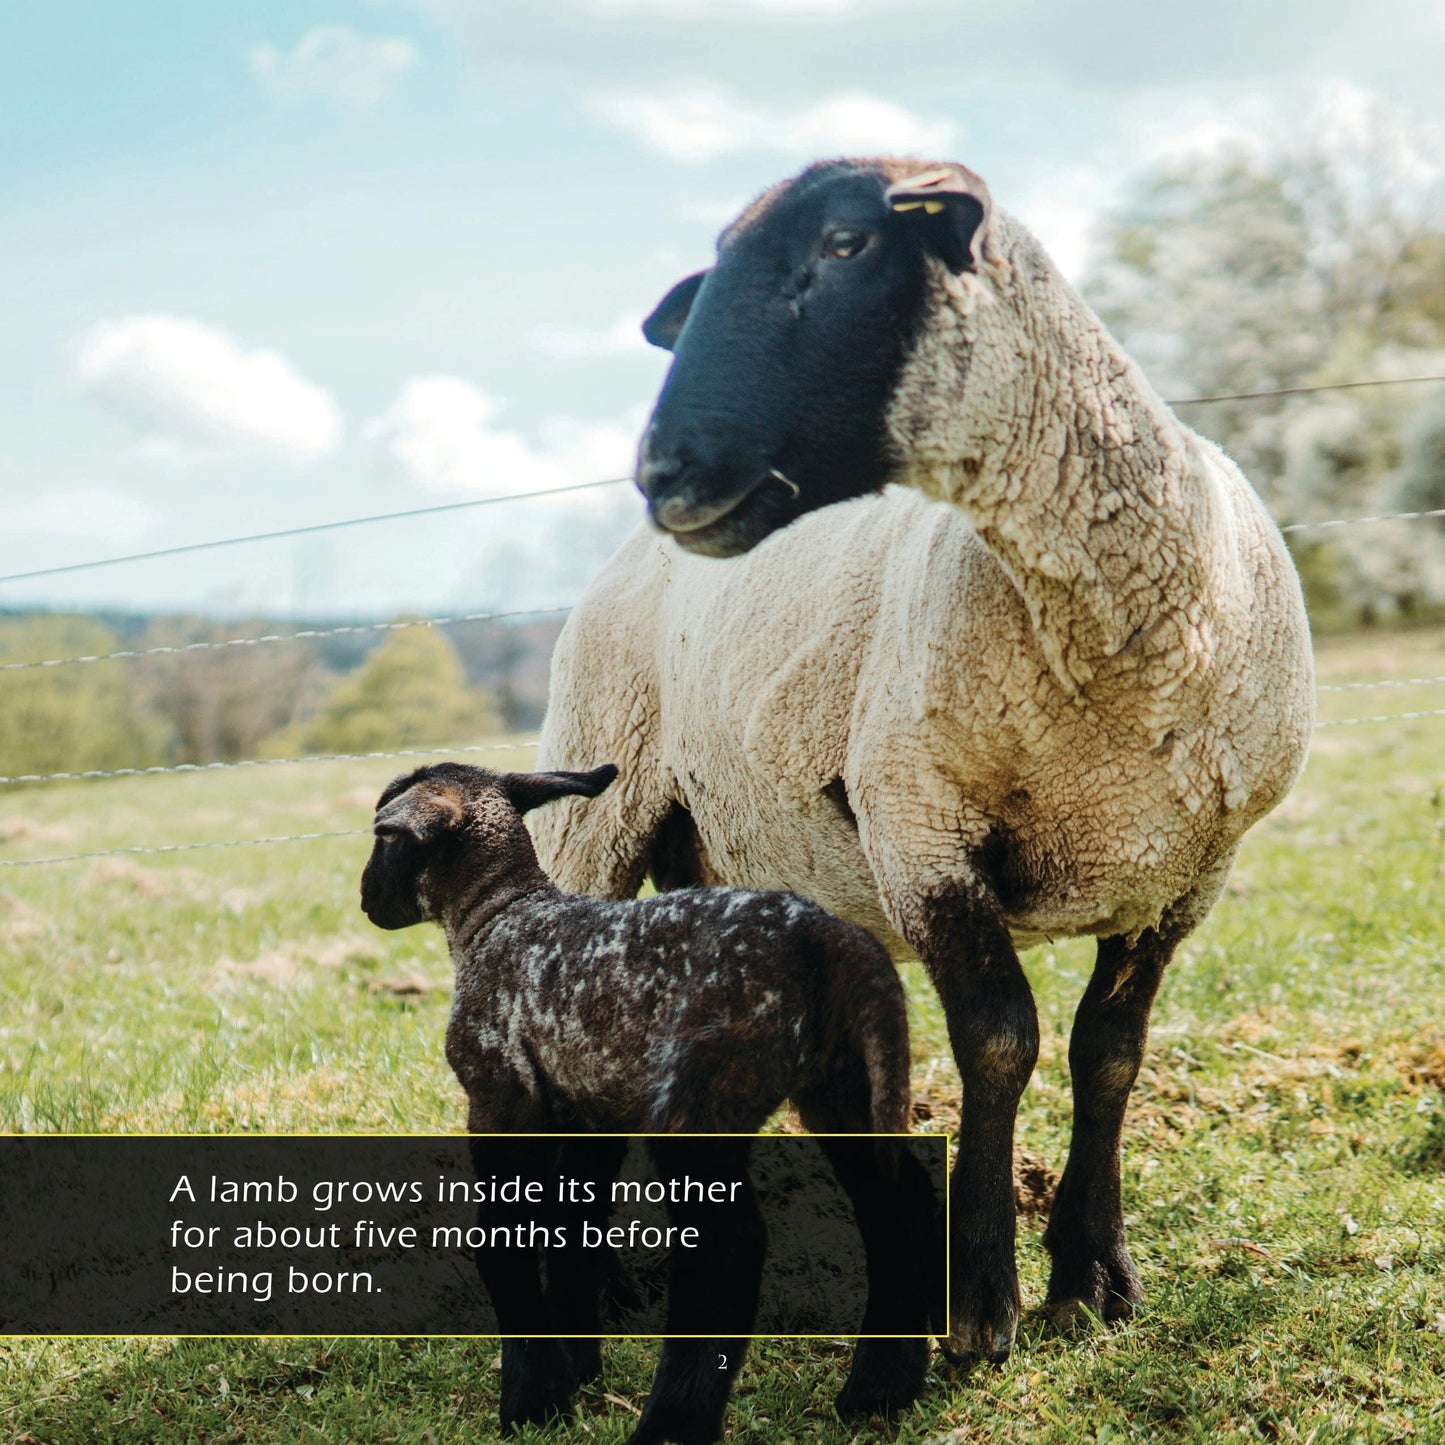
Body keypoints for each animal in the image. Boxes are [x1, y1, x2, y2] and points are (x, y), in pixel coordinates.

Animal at [359, 759, 938, 1443]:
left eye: (387, 838)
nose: (366, 900)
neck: (498, 918)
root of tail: (833, 943)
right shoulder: (589, 1112)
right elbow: (570, 1230)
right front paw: (576, 1368)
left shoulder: (499, 1096)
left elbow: (504, 1242)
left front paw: (533, 1402)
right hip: (845, 1084)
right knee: (897, 1201)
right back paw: (879, 1391)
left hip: (705, 1092)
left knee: (729, 1246)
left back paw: (672, 1424)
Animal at [531, 157, 1316, 1364]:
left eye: (846, 246)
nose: (662, 472)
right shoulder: (919, 825)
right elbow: (999, 1041)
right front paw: (981, 1301)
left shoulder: (1185, 876)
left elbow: (1108, 1053)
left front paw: (1093, 1275)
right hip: (594, 796)